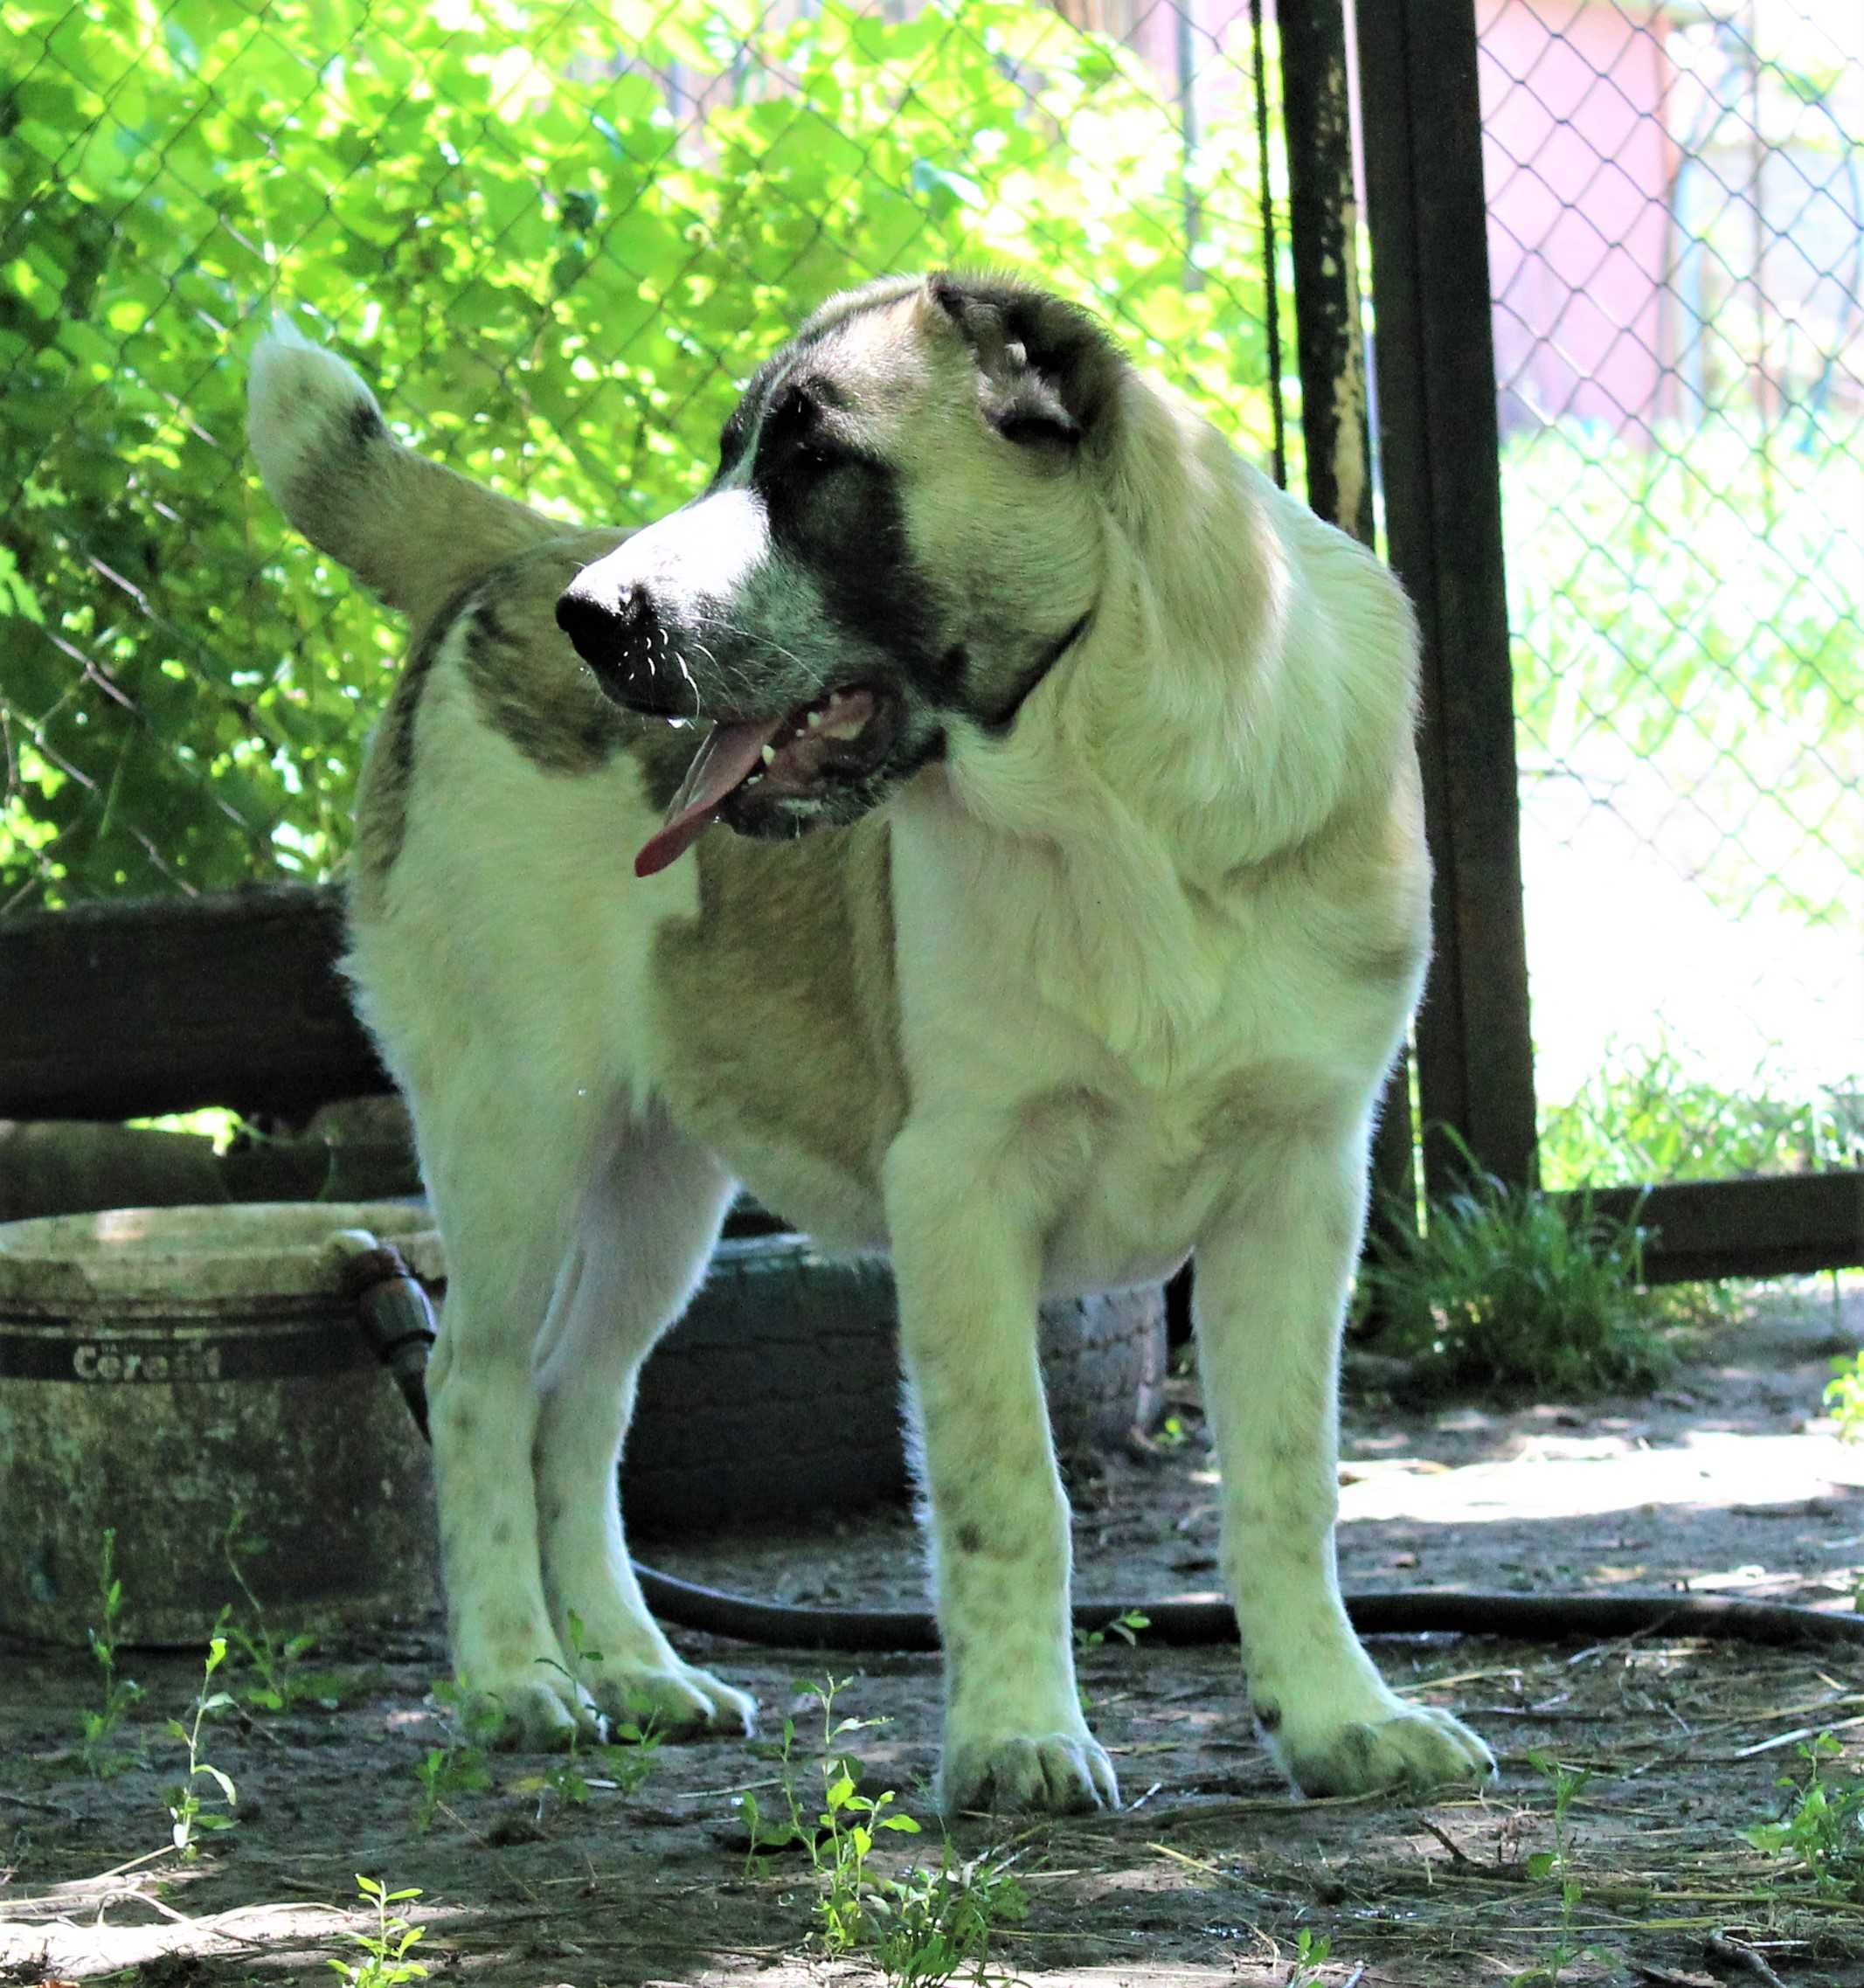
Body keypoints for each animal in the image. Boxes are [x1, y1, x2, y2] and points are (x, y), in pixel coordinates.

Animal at [250, 272, 1494, 1812]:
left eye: (812, 464)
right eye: (732, 452)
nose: (592, 617)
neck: (1116, 802)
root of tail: (515, 552)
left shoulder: (1300, 1186)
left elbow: (1287, 1480)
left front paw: (1334, 1717)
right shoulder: (960, 1190)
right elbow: (1008, 1485)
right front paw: (1017, 1738)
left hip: (657, 1187)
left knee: (574, 1404)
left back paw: (637, 1670)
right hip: (518, 1132)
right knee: (474, 1386)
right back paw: (515, 1679)